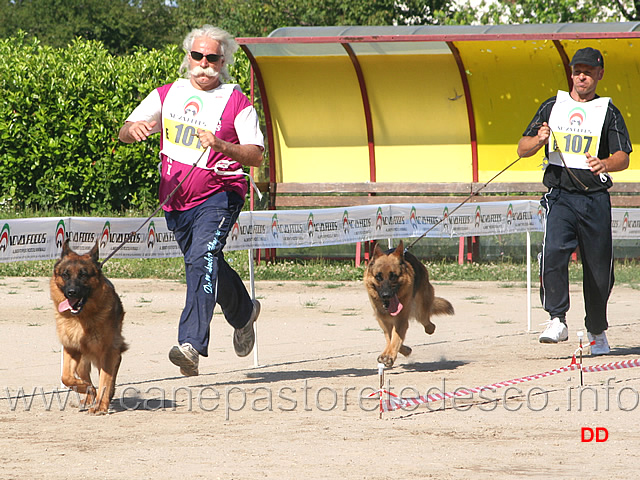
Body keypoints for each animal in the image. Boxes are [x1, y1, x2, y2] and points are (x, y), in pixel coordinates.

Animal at [50, 240, 128, 412]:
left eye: (83, 274)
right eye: (65, 274)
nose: (71, 292)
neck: (81, 318)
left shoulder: (107, 352)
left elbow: (105, 380)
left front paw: (101, 405)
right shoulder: (71, 348)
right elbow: (66, 378)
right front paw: (87, 389)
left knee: (111, 372)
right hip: (82, 362)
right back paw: (88, 397)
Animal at [364, 240, 456, 368]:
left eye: (393, 276)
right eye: (378, 277)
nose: (386, 295)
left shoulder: (400, 319)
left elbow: (396, 338)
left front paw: (389, 356)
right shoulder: (383, 320)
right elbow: (391, 337)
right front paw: (402, 350)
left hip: (421, 311)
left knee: (428, 324)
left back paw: (430, 328)